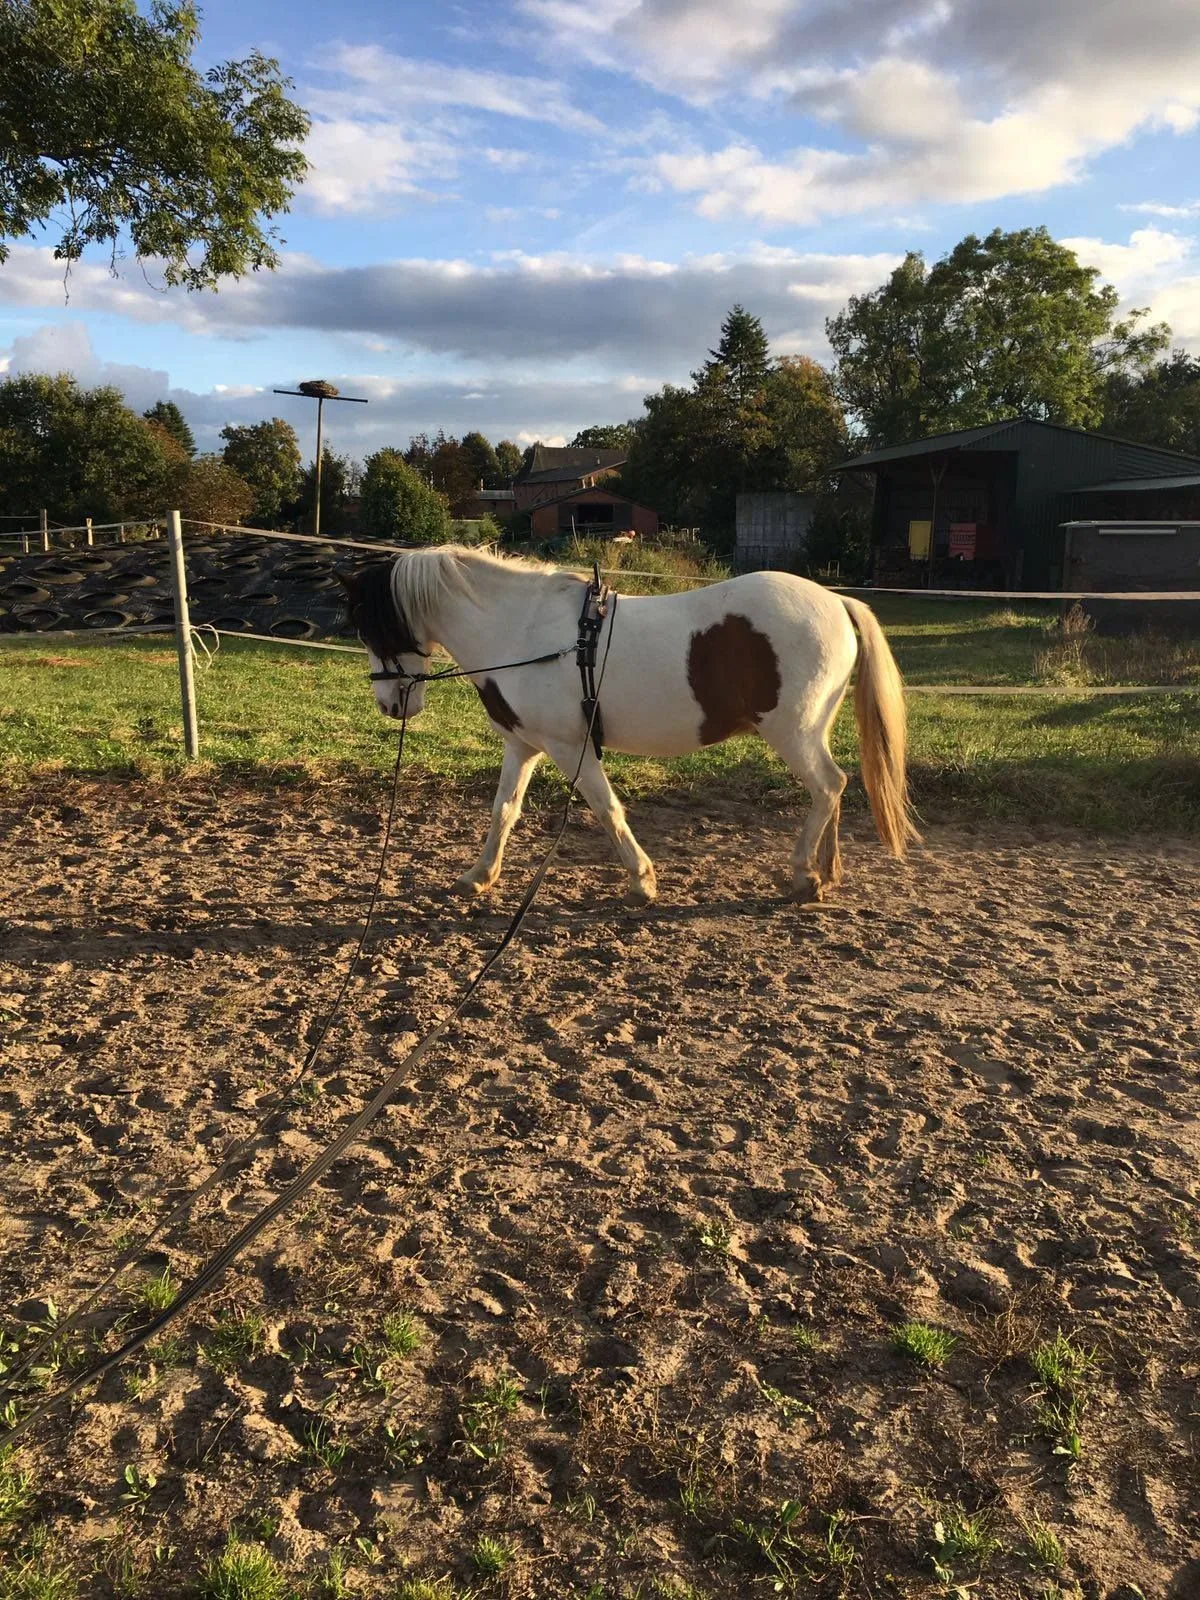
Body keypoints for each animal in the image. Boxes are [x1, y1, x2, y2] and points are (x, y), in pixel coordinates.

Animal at [339, 546, 918, 905]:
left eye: (367, 626)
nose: (389, 704)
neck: (519, 630)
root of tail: (836, 601)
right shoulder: (524, 746)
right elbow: (504, 811)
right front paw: (478, 876)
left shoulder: (568, 746)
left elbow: (605, 808)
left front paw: (641, 882)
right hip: (810, 732)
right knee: (835, 788)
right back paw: (827, 871)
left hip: (792, 733)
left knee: (828, 786)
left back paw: (803, 875)